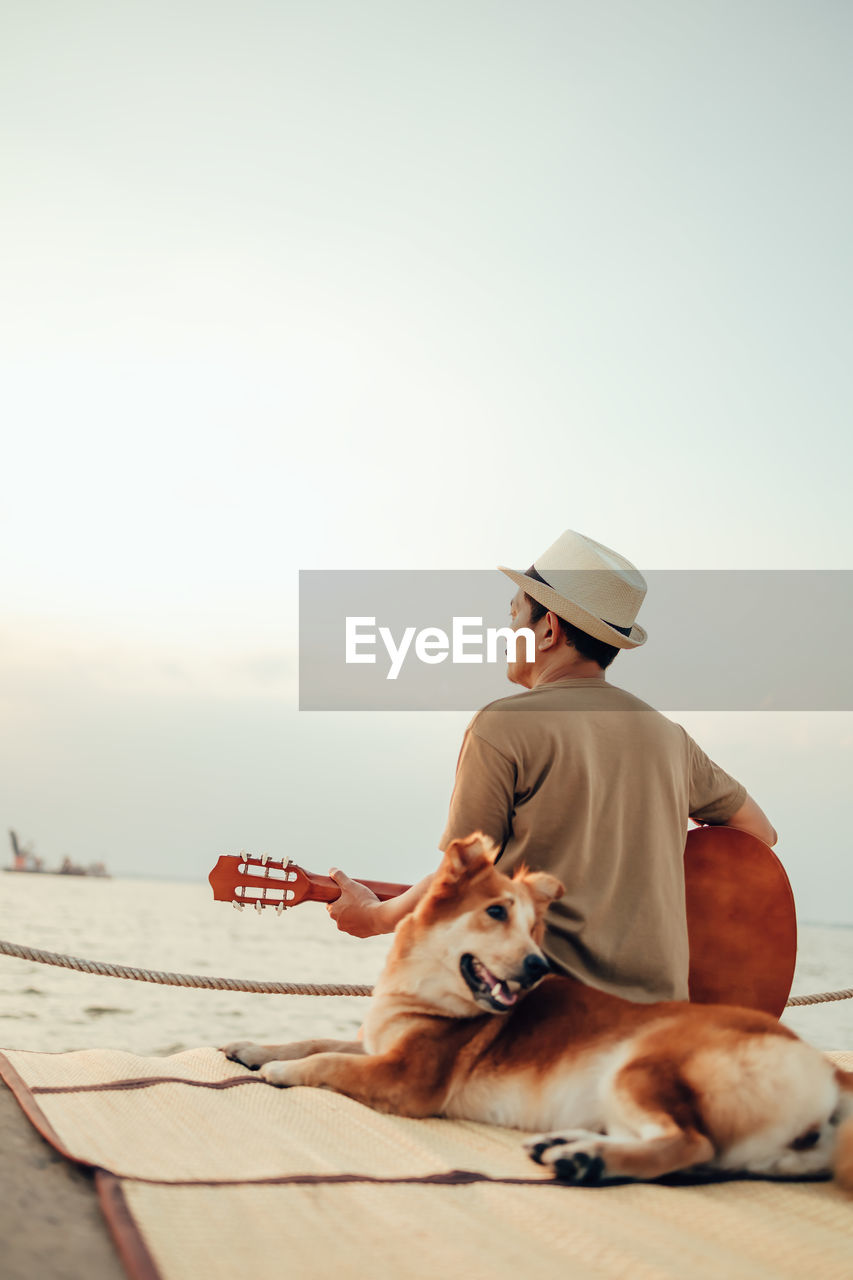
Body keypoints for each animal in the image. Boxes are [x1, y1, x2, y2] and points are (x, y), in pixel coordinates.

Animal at [224, 834, 850, 1182]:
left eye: (534, 928)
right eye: (497, 913)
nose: (537, 967)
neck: (422, 988)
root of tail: (825, 1068)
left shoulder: (407, 1076)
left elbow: (325, 1061)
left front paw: (281, 1069)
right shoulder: (377, 1041)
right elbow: (315, 1039)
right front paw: (252, 1047)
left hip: (641, 1066)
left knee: (691, 1143)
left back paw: (589, 1161)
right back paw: (572, 1149)